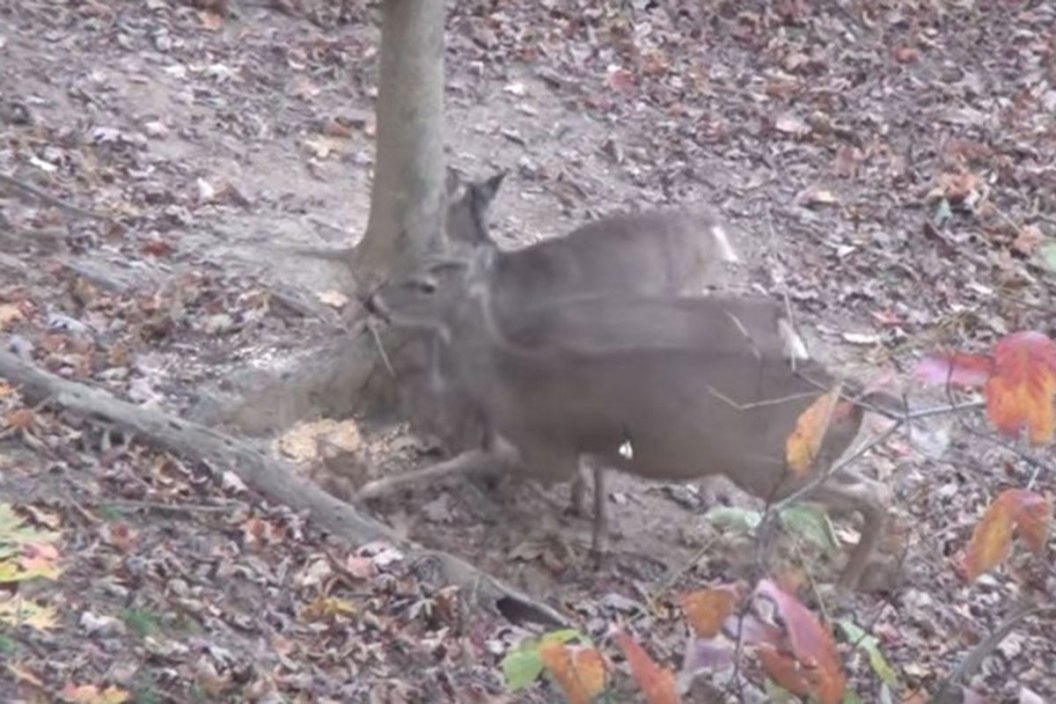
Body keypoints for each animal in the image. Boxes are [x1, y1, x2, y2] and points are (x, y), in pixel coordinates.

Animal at [365, 249, 892, 590]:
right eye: (412, 264)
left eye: (426, 285)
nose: (372, 299)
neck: (507, 371)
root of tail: (848, 396)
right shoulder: (570, 442)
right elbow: (588, 471)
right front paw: (596, 532)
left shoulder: (547, 448)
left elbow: (475, 461)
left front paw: (372, 489)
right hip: (798, 460)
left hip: (767, 462)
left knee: (873, 494)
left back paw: (840, 585)